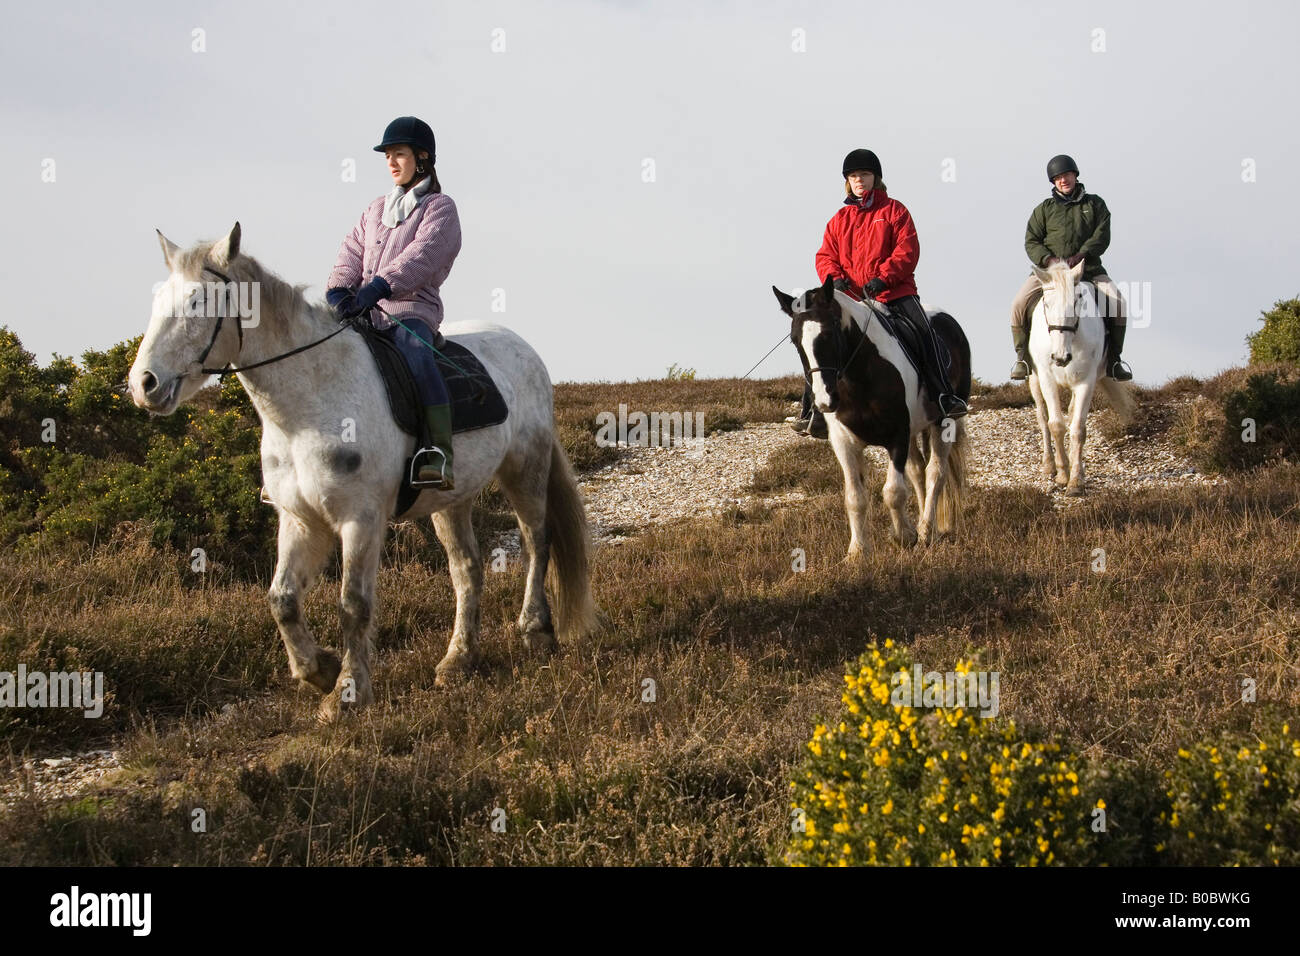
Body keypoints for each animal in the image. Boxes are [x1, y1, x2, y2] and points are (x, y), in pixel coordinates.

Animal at [129, 222, 595, 717]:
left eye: (199, 300)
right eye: (157, 300)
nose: (144, 384)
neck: (306, 409)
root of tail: (522, 347)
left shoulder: (361, 519)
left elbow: (352, 605)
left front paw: (347, 692)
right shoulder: (300, 521)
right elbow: (282, 601)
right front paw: (319, 670)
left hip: (525, 469)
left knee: (536, 542)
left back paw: (536, 630)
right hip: (452, 498)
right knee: (466, 568)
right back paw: (458, 659)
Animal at [769, 277, 967, 561]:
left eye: (828, 334)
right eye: (796, 342)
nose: (824, 401)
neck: (861, 377)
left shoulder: (898, 435)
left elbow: (893, 491)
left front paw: (903, 536)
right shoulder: (844, 442)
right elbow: (855, 497)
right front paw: (857, 553)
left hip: (943, 424)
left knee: (935, 473)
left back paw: (927, 530)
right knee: (917, 472)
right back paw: (923, 527)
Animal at [1029, 257, 1133, 496]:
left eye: (1077, 301)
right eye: (1046, 304)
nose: (1060, 357)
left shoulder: (1086, 382)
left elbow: (1077, 429)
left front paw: (1075, 481)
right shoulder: (1047, 379)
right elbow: (1055, 425)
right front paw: (1062, 475)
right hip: (1034, 380)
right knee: (1042, 417)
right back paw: (1049, 465)